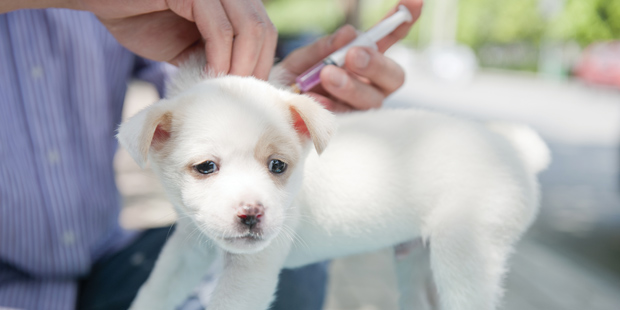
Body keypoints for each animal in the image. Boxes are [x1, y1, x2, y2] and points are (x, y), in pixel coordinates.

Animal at [118, 58, 548, 310]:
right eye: (206, 167)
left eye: (278, 165)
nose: (252, 214)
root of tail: (514, 151)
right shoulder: (187, 249)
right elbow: (155, 291)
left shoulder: (250, 273)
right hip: (418, 265)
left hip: (465, 256)